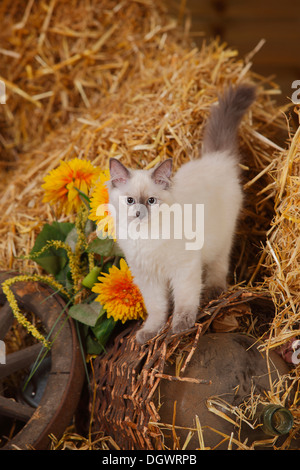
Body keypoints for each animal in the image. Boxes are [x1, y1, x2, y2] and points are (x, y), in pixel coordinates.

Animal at [106, 84, 254, 344]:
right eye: (130, 200)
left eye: (151, 201)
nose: (139, 213)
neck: (146, 237)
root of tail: (215, 159)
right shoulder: (148, 277)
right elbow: (156, 308)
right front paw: (149, 332)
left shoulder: (184, 268)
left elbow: (184, 301)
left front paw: (181, 327)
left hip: (221, 239)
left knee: (219, 266)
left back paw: (214, 290)